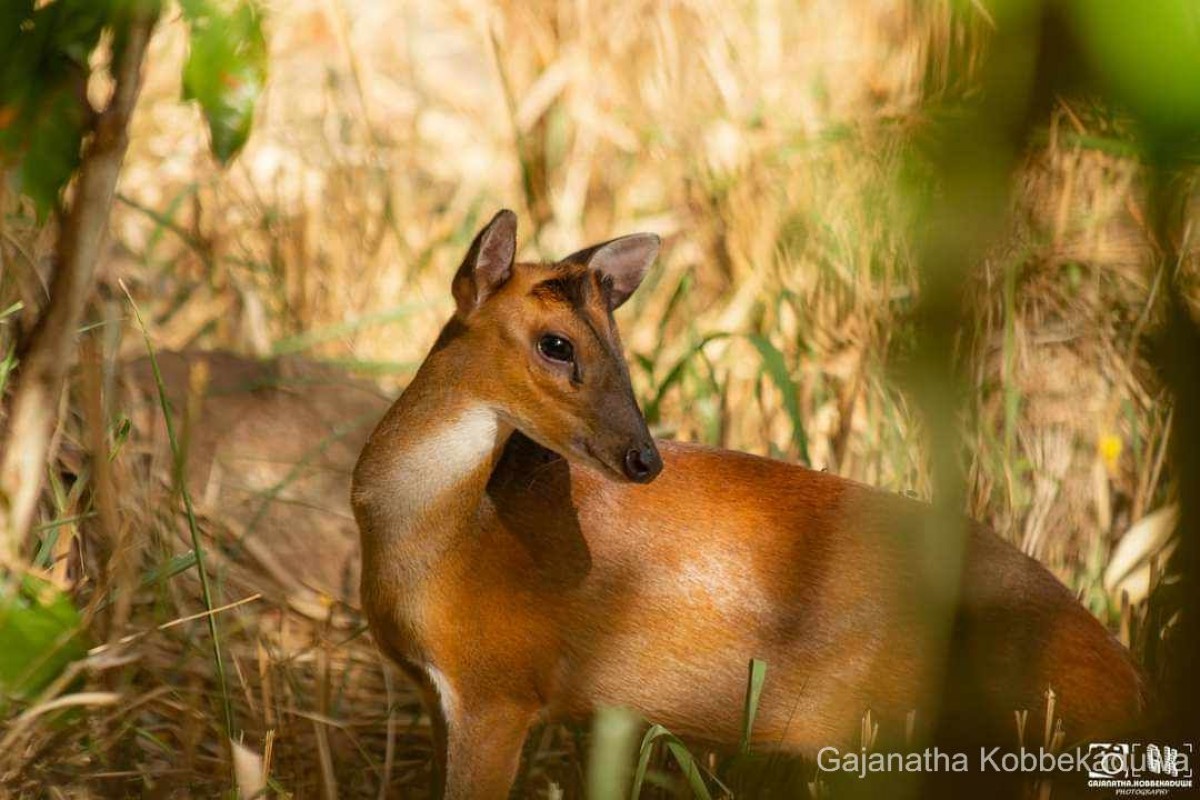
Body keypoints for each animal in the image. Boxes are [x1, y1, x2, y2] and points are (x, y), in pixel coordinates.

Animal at [350, 209, 1142, 796]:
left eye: (619, 347)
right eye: (557, 344)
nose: (644, 458)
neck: (449, 551)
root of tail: (1132, 681)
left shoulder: (500, 691)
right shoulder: (443, 696)